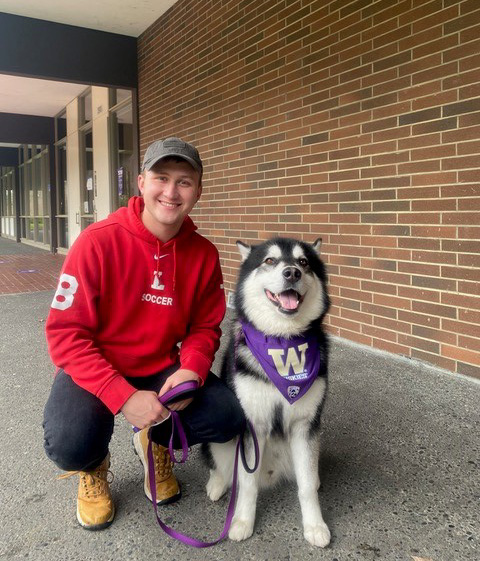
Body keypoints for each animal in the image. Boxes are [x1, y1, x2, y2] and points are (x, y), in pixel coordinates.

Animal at [202, 236, 330, 548]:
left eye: (303, 262)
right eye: (270, 260)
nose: (292, 273)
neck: (283, 341)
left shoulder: (305, 425)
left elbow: (306, 485)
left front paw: (315, 525)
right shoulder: (253, 425)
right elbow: (247, 484)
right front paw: (242, 522)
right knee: (219, 466)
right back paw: (217, 484)